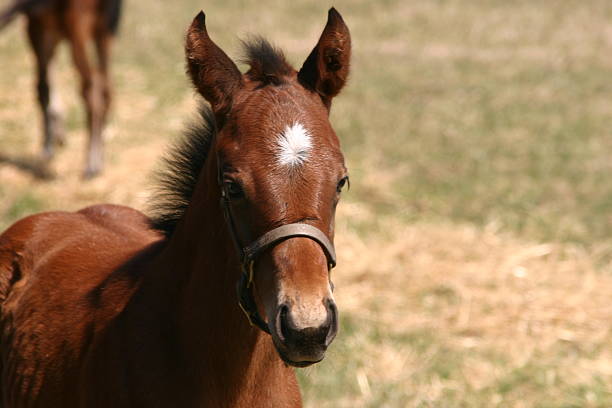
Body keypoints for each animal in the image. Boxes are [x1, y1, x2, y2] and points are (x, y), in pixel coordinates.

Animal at [0, 0, 122, 178]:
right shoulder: (51, 30)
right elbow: (47, 80)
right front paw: (58, 134)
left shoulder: (37, 25)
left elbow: (42, 86)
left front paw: (48, 146)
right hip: (106, 30)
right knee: (107, 87)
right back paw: (99, 156)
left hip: (78, 27)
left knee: (90, 86)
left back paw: (91, 164)